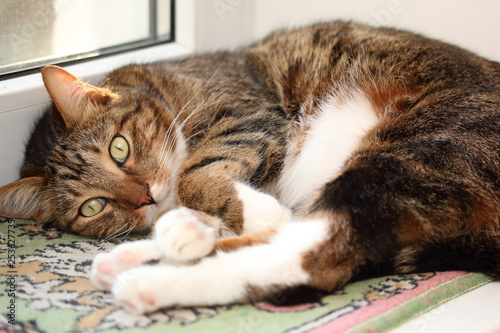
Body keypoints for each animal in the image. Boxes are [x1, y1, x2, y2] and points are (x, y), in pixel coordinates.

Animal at [0, 21, 500, 314]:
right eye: (93, 206)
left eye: (118, 149)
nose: (145, 197)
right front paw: (190, 226)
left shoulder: (250, 113)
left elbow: (196, 174)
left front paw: (235, 209)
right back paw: (136, 255)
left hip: (415, 149)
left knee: (314, 253)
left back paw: (150, 279)